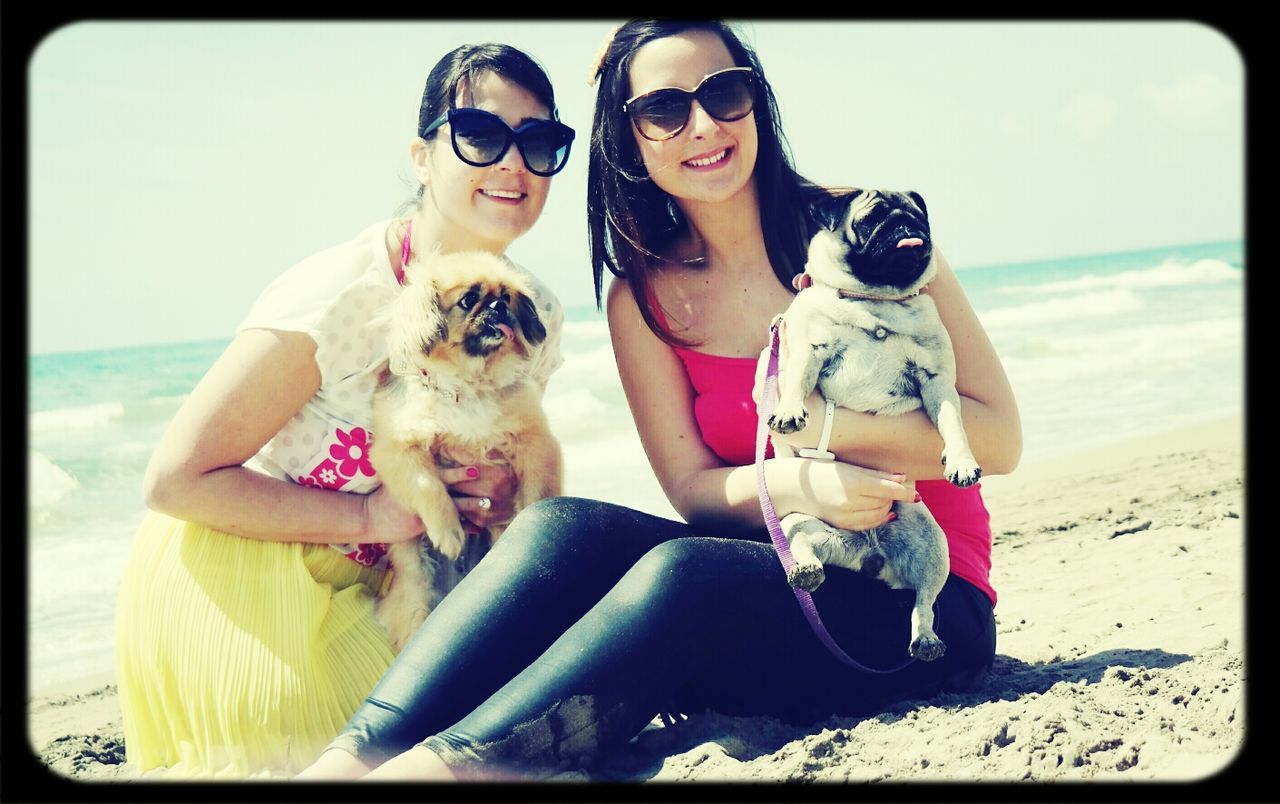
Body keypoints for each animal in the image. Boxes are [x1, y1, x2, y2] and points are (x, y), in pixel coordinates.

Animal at [757, 189, 977, 665]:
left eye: (918, 217)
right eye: (872, 218)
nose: (904, 224)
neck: (877, 303)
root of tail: (870, 555)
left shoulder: (938, 382)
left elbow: (954, 424)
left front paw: (961, 462)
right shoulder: (808, 351)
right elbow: (795, 382)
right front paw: (788, 413)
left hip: (933, 546)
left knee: (924, 602)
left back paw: (926, 640)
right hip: (796, 520)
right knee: (804, 548)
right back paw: (805, 571)